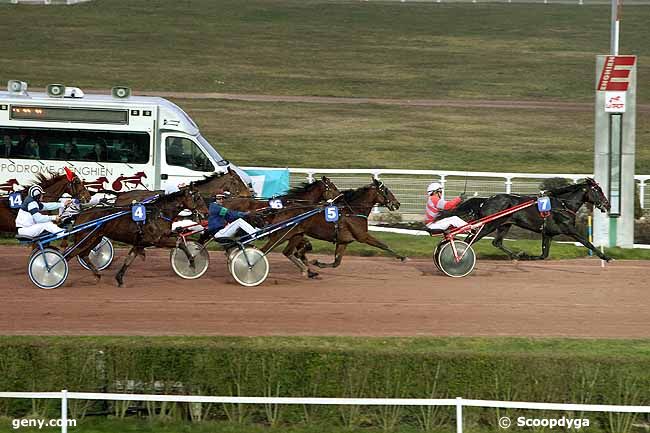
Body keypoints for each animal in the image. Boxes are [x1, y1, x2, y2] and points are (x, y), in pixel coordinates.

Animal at [68, 186, 205, 286]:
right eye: (198, 197)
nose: (206, 212)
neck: (158, 213)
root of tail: (80, 214)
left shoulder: (141, 242)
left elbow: (130, 258)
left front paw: (119, 278)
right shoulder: (157, 240)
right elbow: (181, 244)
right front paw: (192, 262)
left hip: (95, 238)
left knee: (83, 254)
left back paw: (97, 274)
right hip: (86, 238)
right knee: (70, 254)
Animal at [260, 177, 402, 276]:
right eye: (386, 190)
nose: (397, 204)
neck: (353, 211)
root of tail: (282, 209)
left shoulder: (343, 241)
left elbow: (336, 263)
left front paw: (317, 263)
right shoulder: (363, 236)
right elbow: (383, 245)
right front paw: (402, 257)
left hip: (296, 234)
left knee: (287, 252)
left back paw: (305, 269)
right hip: (282, 234)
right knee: (263, 250)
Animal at [448, 178, 612, 260]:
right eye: (598, 190)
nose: (608, 204)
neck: (563, 204)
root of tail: (486, 200)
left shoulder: (548, 233)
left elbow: (543, 255)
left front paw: (526, 255)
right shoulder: (569, 229)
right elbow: (587, 242)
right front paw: (606, 257)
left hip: (504, 224)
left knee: (496, 242)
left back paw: (515, 256)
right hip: (488, 225)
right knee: (469, 241)